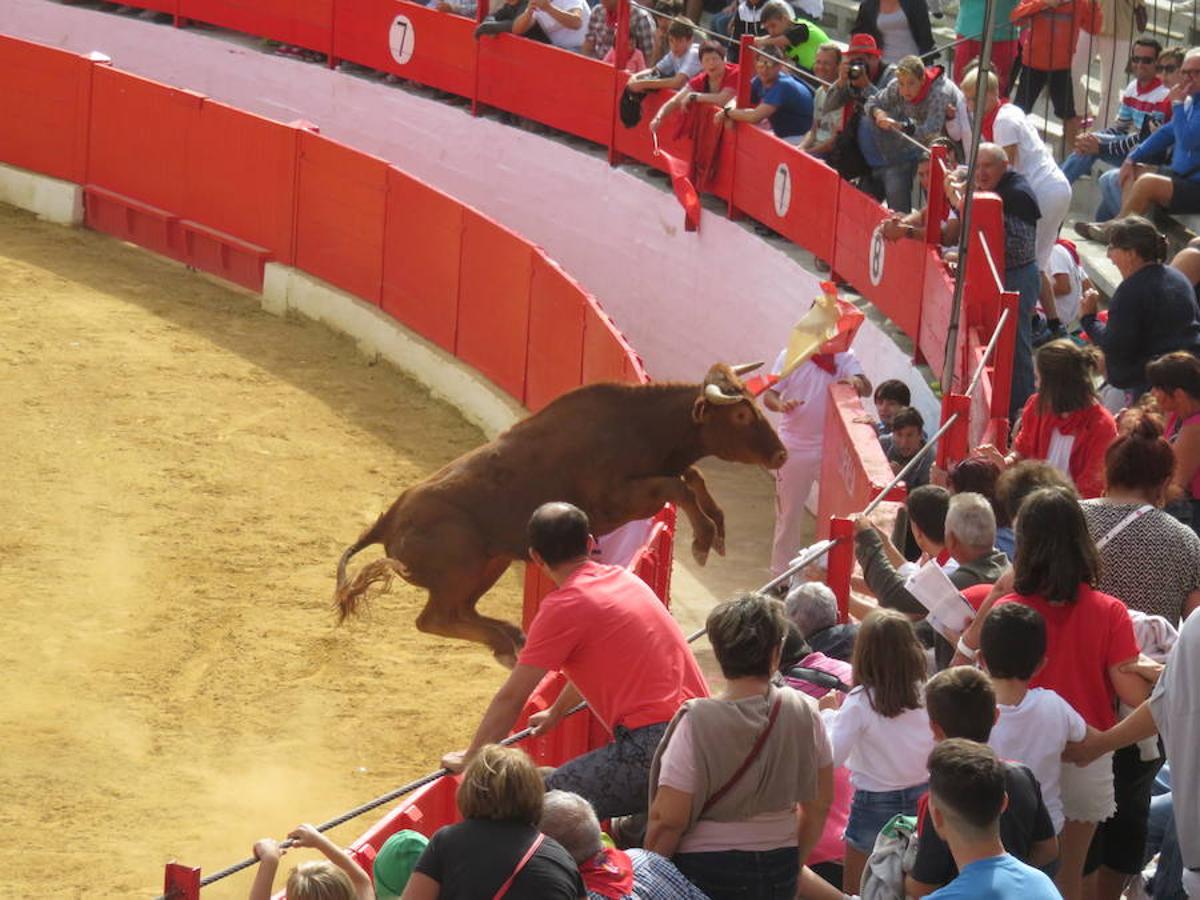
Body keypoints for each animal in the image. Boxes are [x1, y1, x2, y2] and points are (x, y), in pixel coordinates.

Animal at [338, 362, 787, 667]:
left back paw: (509, 638)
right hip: (459, 570)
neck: (640, 426)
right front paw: (702, 541)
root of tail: (390, 518)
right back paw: (506, 641)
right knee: (435, 619)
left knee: (460, 612)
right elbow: (679, 485)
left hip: (490, 562)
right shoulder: (620, 500)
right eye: (741, 414)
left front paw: (718, 531)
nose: (781, 455)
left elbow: (692, 478)